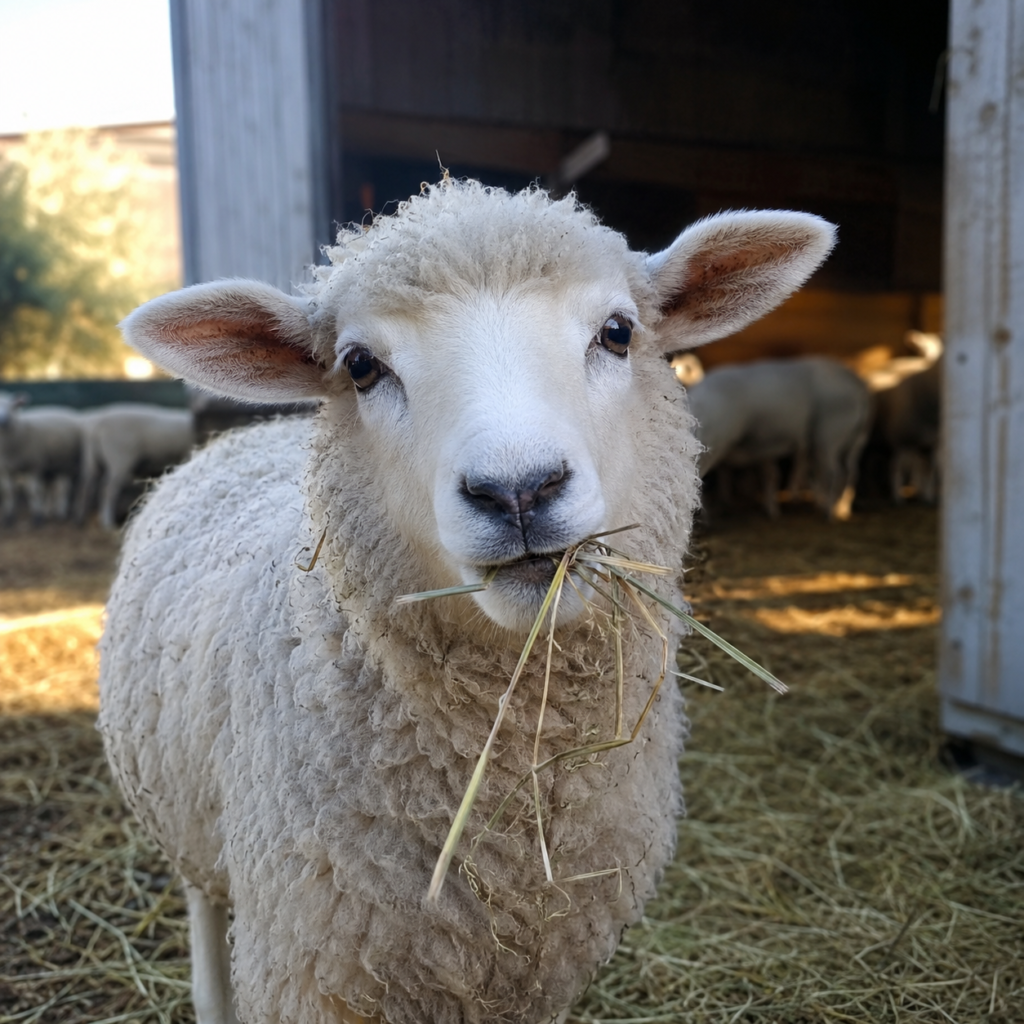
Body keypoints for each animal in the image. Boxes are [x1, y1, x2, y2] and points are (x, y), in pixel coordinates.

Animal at [0, 392, 83, 525]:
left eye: (12, 407)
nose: (3, 421)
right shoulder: (5, 468)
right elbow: (8, 492)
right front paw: (9, 518)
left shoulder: (34, 466)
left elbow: (33, 492)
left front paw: (37, 518)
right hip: (55, 466)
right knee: (54, 488)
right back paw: (50, 511)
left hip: (70, 463)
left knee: (67, 488)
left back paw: (63, 513)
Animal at [687, 357, 872, 520]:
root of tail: (858, 386)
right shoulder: (761, 447)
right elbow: (768, 475)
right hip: (856, 438)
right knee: (850, 472)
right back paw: (841, 510)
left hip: (829, 435)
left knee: (833, 473)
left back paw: (827, 512)